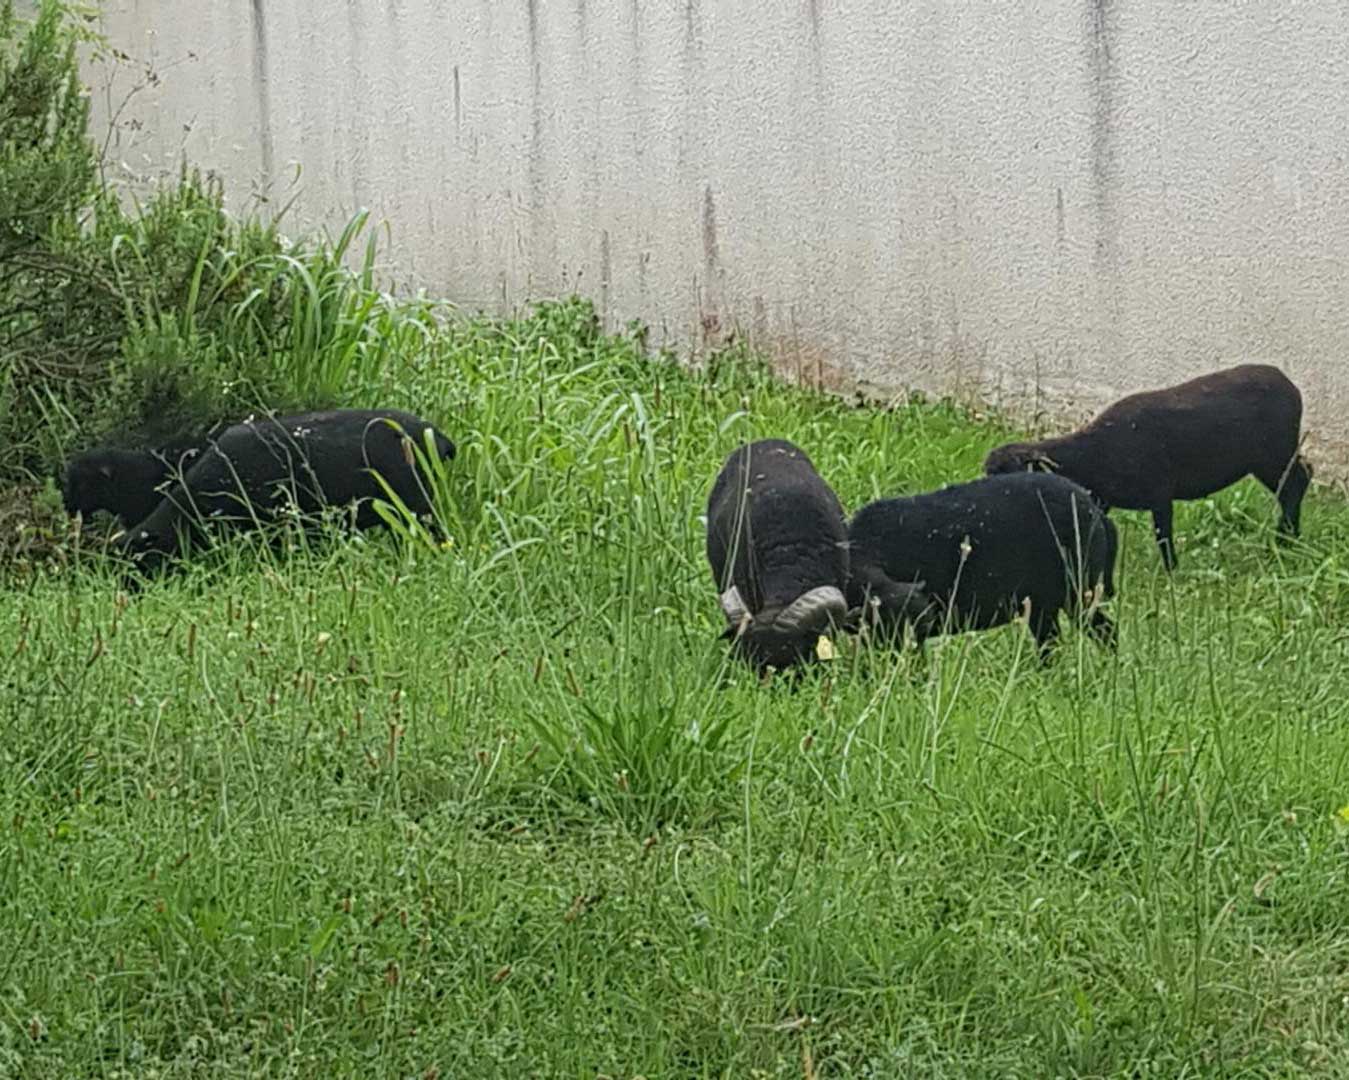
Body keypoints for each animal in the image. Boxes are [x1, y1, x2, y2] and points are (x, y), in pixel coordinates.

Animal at [987, 364, 1311, 568]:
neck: (1088, 457)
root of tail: (1291, 386)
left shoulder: (1159, 491)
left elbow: (1162, 535)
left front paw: (1171, 571)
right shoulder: (1101, 500)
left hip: (1273, 455)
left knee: (1295, 485)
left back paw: (1284, 541)